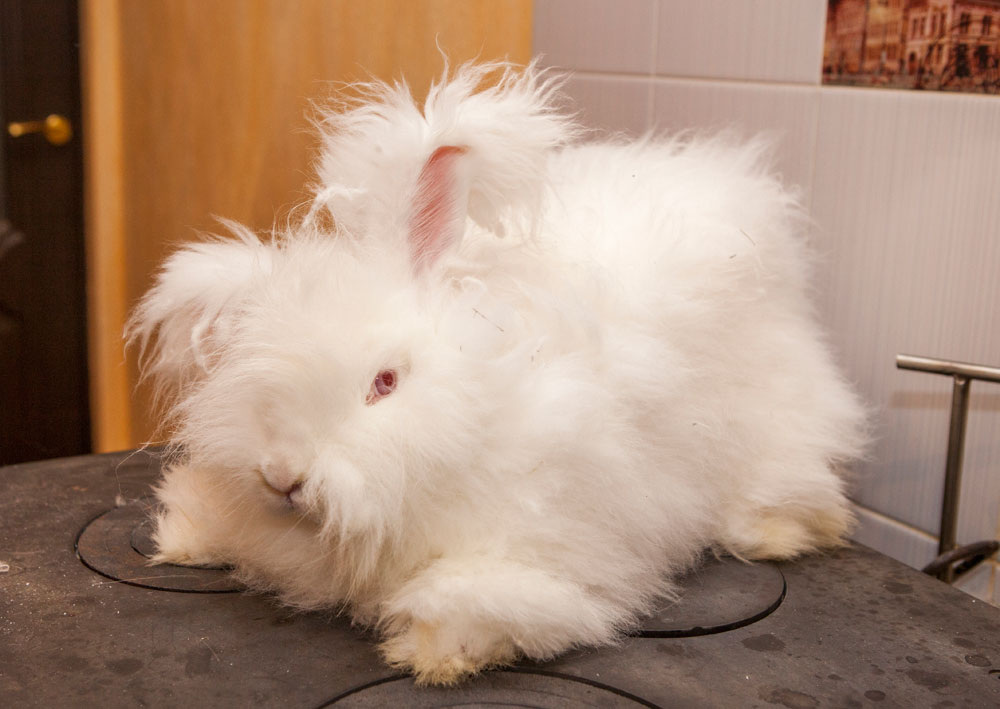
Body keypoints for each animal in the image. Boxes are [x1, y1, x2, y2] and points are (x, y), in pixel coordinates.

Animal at [128, 62, 867, 685]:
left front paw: (434, 651)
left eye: (385, 383)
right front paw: (186, 542)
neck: (478, 403)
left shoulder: (544, 539)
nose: (282, 476)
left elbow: (485, 598)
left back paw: (778, 531)